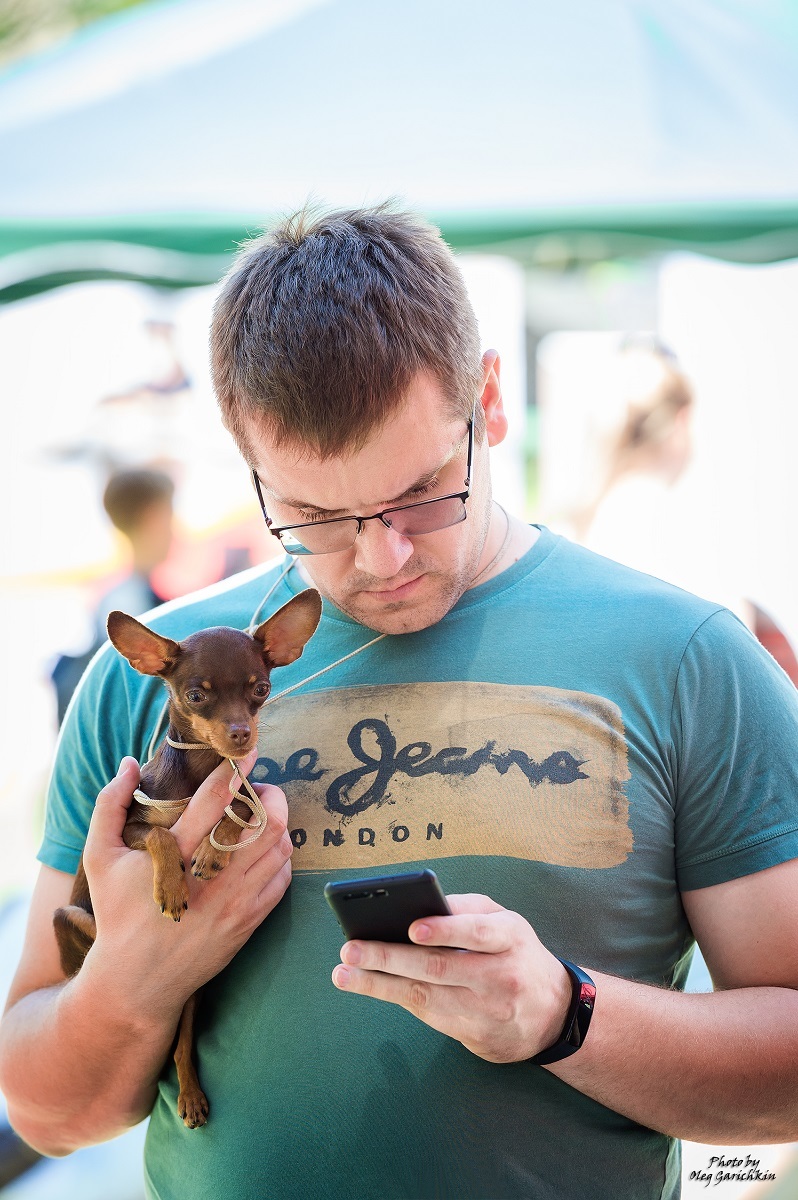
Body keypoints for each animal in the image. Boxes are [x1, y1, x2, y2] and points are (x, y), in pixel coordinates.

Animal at [51, 588, 321, 1123]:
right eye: (196, 695)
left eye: (261, 688)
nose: (241, 733)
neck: (199, 772)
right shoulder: (132, 825)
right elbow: (161, 834)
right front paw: (172, 886)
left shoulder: (243, 788)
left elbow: (242, 805)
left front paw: (214, 852)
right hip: (69, 917)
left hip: (192, 996)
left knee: (179, 1047)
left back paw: (191, 1097)